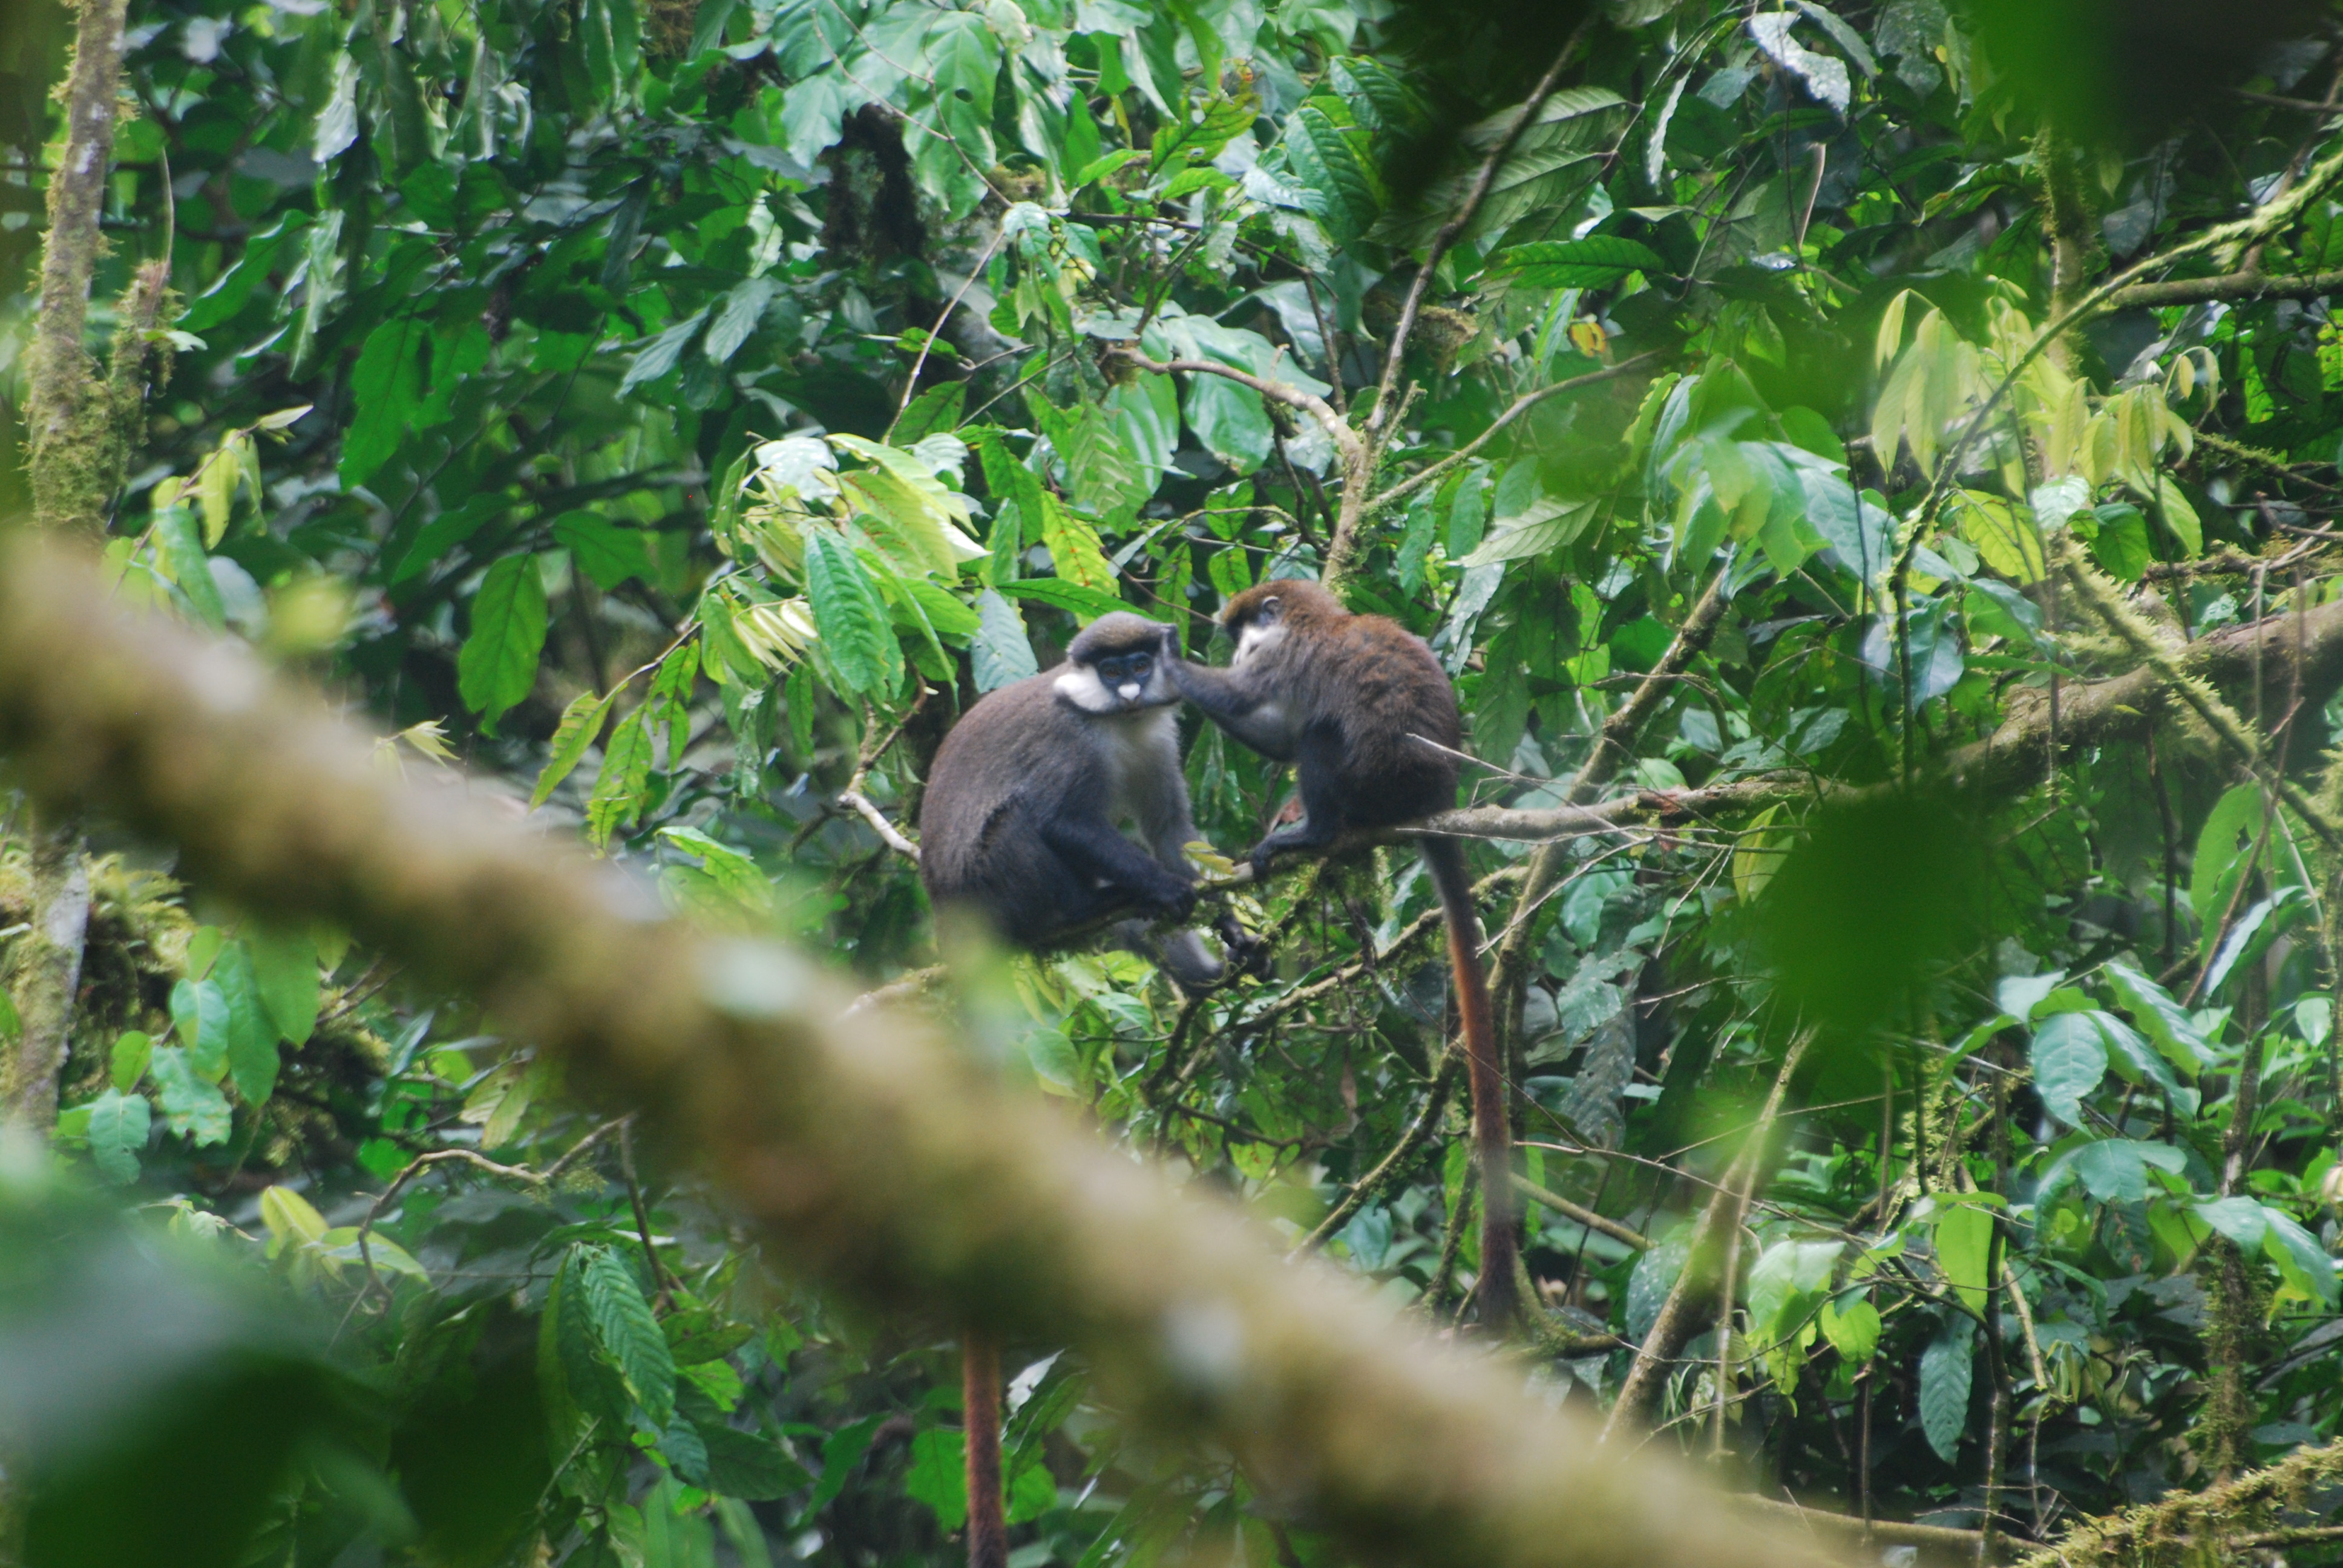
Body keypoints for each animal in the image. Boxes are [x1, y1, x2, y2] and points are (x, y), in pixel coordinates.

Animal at [917, 611, 1225, 1568]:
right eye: (1108, 666)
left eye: (1138, 661)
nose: (1126, 687)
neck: (1114, 726)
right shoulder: (1071, 750)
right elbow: (1065, 820)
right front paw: (1169, 890)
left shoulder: (1159, 739)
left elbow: (1172, 832)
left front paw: (1221, 926)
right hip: (995, 882)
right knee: (1032, 831)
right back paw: (1088, 906)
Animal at [1161, 579, 1519, 1330]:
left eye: (1245, 631)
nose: (1232, 645)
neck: (1311, 619)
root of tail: (1432, 793)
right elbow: (1268, 730)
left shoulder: (1284, 654)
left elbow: (1256, 709)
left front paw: (1164, 658)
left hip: (1374, 779)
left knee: (1320, 736)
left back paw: (1315, 830)